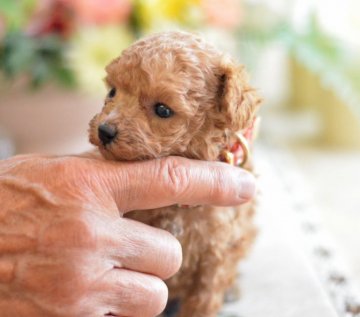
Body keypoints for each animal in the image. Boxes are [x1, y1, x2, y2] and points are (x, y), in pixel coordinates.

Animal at [88, 30, 260, 316]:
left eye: (163, 110)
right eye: (112, 91)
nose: (104, 131)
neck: (179, 207)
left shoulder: (215, 255)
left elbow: (203, 298)